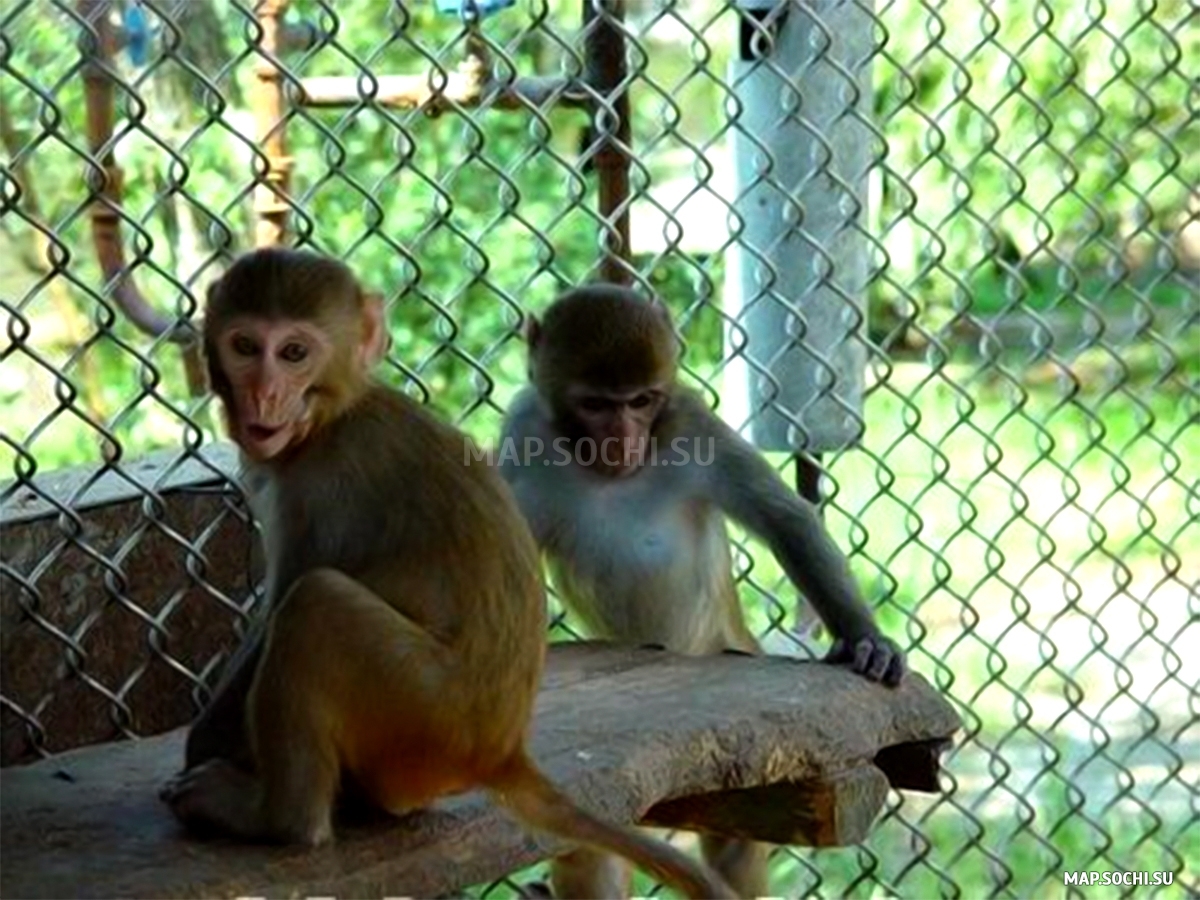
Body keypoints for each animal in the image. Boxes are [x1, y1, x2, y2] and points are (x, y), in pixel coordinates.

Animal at [157, 248, 739, 900]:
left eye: (294, 353)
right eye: (244, 345)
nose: (263, 395)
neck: (335, 412)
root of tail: (501, 752)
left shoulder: (316, 488)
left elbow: (285, 596)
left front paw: (206, 744)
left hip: (426, 713)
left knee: (316, 604)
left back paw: (279, 818)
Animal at [499, 283, 907, 900]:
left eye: (642, 401)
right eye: (595, 404)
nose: (623, 438)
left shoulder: (690, 421)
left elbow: (783, 518)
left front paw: (863, 640)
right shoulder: (523, 429)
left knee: (733, 840)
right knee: (587, 846)